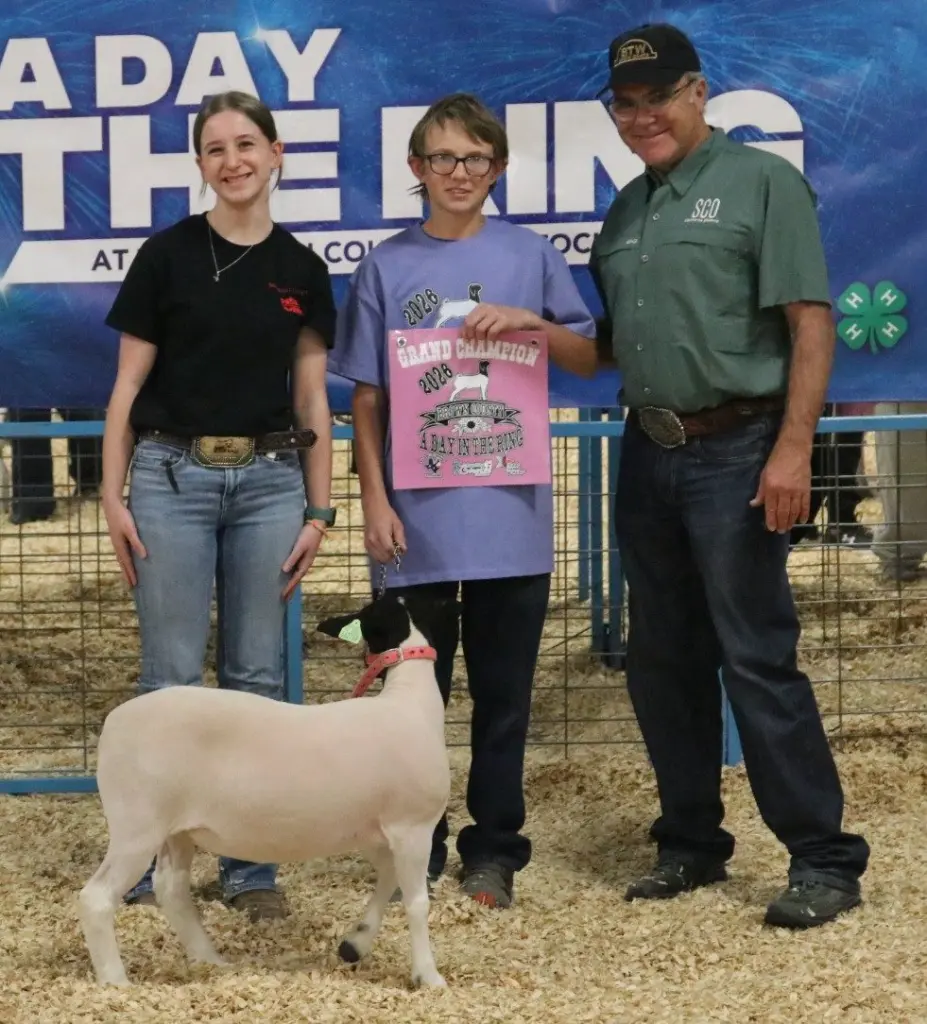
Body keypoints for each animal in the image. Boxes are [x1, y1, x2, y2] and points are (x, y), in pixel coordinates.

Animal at [77, 592, 456, 989]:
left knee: (171, 888)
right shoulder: (412, 825)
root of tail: (111, 725)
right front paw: (428, 975)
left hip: (176, 830)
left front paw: (355, 943)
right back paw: (115, 981)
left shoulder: (374, 831)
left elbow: (387, 877)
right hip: (137, 824)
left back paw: (210, 960)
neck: (409, 701)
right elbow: (416, 902)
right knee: (96, 897)